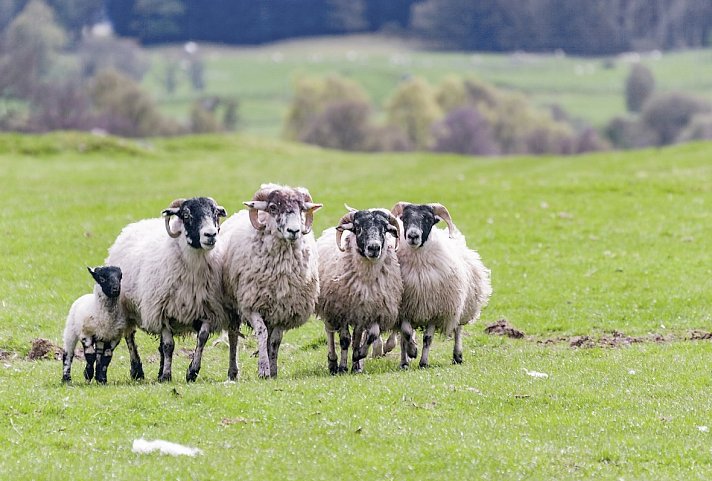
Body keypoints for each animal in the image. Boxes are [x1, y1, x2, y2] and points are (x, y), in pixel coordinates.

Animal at [105, 196, 229, 382]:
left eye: (215, 213)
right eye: (186, 215)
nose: (211, 234)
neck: (193, 270)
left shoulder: (208, 310)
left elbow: (201, 339)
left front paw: (192, 371)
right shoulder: (161, 312)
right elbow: (169, 345)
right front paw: (166, 375)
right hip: (124, 306)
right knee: (129, 336)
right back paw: (137, 370)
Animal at [220, 182, 322, 376]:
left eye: (301, 209)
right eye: (273, 207)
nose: (294, 231)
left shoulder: (285, 310)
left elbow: (275, 340)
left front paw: (273, 370)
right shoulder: (251, 304)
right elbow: (262, 333)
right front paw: (263, 369)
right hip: (233, 306)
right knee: (233, 336)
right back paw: (233, 371)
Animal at [390, 202, 490, 368]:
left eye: (428, 218)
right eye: (404, 218)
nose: (412, 236)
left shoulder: (435, 310)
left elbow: (427, 338)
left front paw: (423, 362)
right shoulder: (404, 309)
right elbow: (406, 333)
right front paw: (411, 353)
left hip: (459, 306)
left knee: (458, 329)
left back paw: (457, 356)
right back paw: (405, 361)